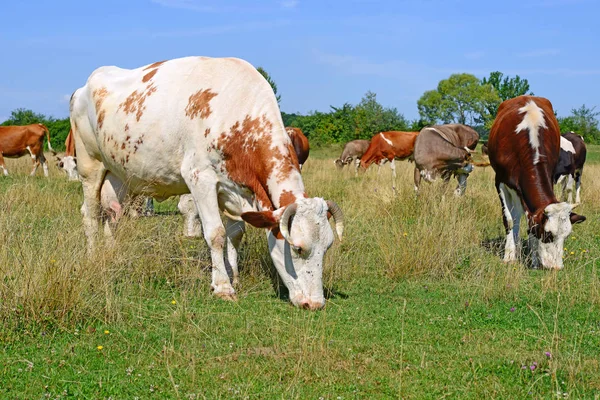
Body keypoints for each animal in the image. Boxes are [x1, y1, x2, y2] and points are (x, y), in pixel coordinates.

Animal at [69, 55, 342, 310]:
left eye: (327, 247)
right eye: (298, 248)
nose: (316, 303)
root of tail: (83, 87)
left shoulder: (235, 189)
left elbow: (236, 234)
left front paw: (233, 276)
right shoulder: (200, 178)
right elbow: (216, 234)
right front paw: (222, 287)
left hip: (118, 174)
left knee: (112, 214)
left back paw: (109, 255)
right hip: (90, 166)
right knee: (90, 214)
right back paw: (93, 257)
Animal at [488, 96, 584, 270]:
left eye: (566, 236)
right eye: (548, 234)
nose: (556, 267)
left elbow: (529, 221)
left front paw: (533, 261)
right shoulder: (500, 182)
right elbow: (510, 220)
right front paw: (509, 256)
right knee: (515, 216)